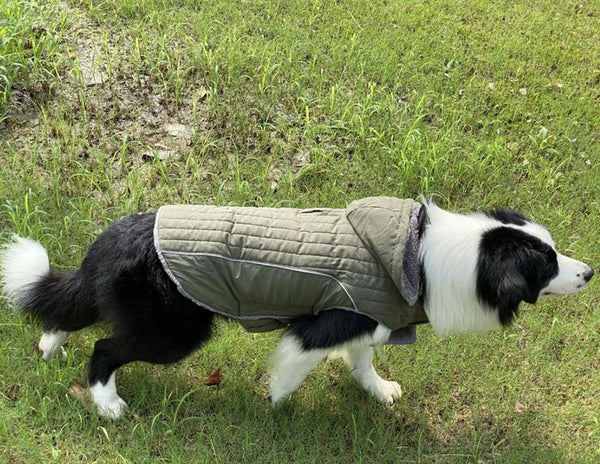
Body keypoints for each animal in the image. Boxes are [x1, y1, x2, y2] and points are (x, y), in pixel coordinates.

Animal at [0, 198, 592, 418]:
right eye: (546, 265)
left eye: (555, 250)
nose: (589, 272)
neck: (427, 257)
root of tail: (117, 237)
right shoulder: (325, 324)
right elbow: (293, 364)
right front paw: (276, 404)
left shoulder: (370, 320)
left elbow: (364, 361)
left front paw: (378, 391)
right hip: (173, 331)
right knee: (104, 347)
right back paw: (109, 405)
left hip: (128, 305)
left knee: (67, 310)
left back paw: (49, 347)